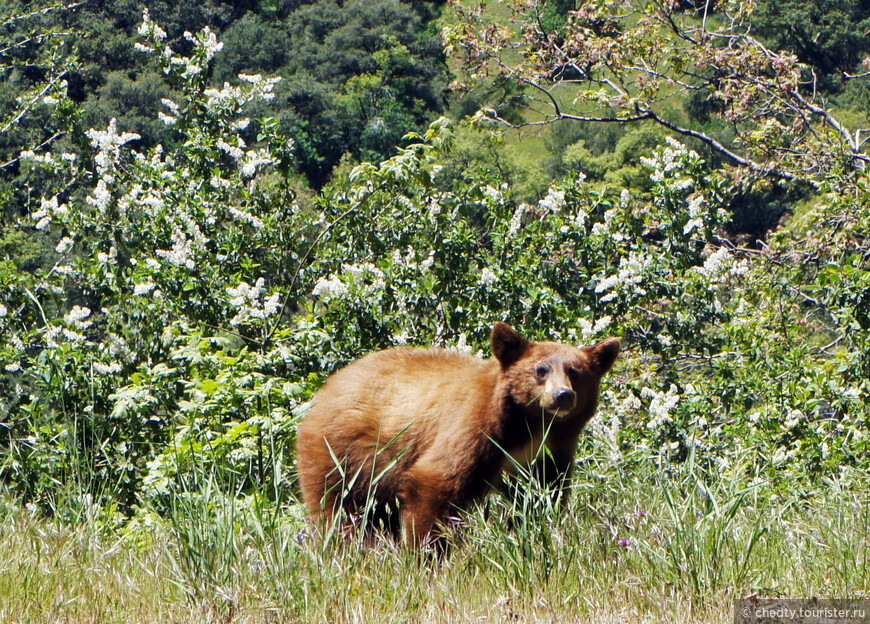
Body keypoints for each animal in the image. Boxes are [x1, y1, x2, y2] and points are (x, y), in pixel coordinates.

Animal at [298, 324, 620, 544]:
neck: (530, 426)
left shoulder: (550, 451)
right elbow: (435, 482)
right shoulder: (475, 427)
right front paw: (425, 553)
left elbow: (542, 494)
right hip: (342, 451)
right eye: (541, 370)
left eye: (575, 372)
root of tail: (326, 388)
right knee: (338, 507)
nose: (562, 395)